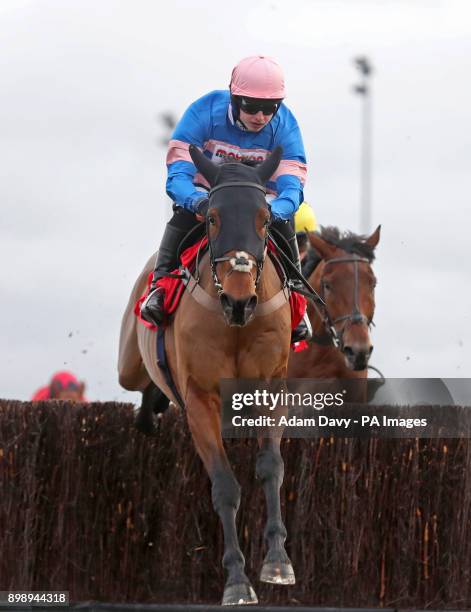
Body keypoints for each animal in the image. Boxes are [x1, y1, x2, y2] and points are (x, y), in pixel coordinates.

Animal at [119, 146, 296, 604]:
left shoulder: (270, 390)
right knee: (140, 383)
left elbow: (271, 467)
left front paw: (277, 562)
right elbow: (225, 486)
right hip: (129, 363)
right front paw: (236, 581)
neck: (235, 324)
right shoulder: (200, 399)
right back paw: (149, 410)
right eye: (212, 217)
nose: (239, 300)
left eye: (265, 218)